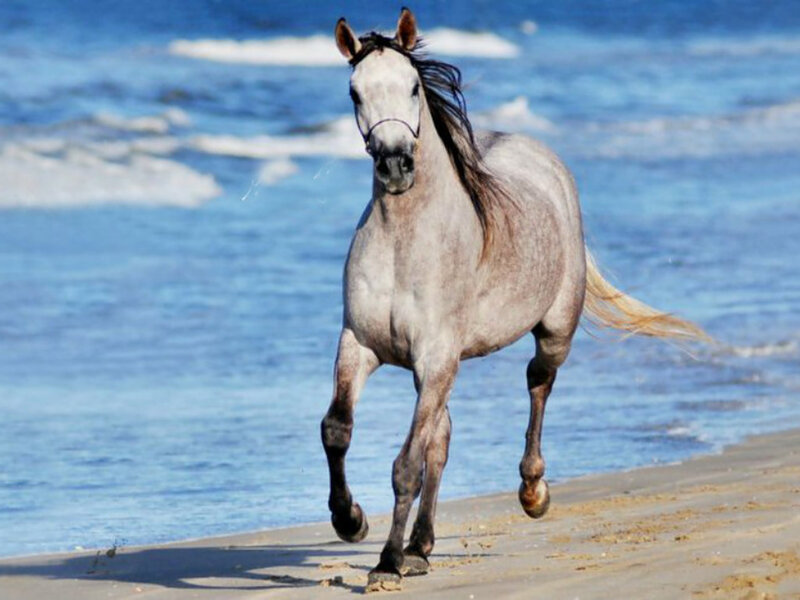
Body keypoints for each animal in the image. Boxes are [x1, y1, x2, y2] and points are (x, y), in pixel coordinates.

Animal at [321, 8, 709, 590]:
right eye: (354, 92)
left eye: (412, 87)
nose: (394, 165)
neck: (404, 242)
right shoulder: (362, 346)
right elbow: (339, 431)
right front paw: (351, 521)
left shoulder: (436, 358)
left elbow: (406, 464)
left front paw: (386, 563)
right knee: (442, 439)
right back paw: (421, 546)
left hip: (553, 332)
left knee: (537, 384)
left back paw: (532, 493)